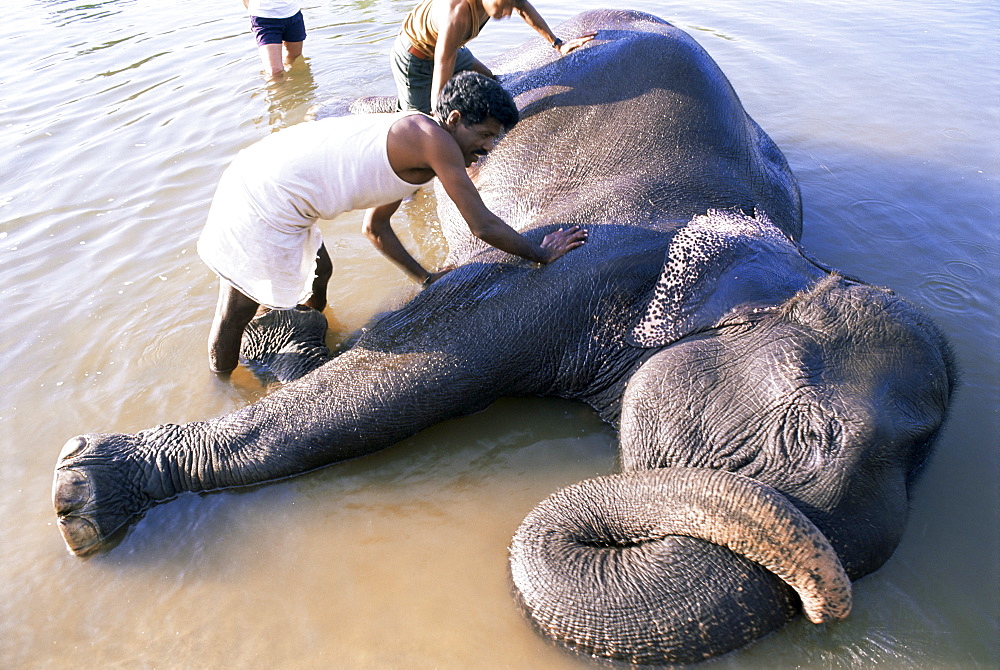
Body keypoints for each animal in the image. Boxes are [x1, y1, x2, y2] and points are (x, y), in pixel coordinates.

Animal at [50, 7, 956, 668]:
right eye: (808, 432)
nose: (826, 605)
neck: (786, 261)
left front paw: (284, 341)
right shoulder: (575, 270)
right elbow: (391, 384)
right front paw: (85, 496)